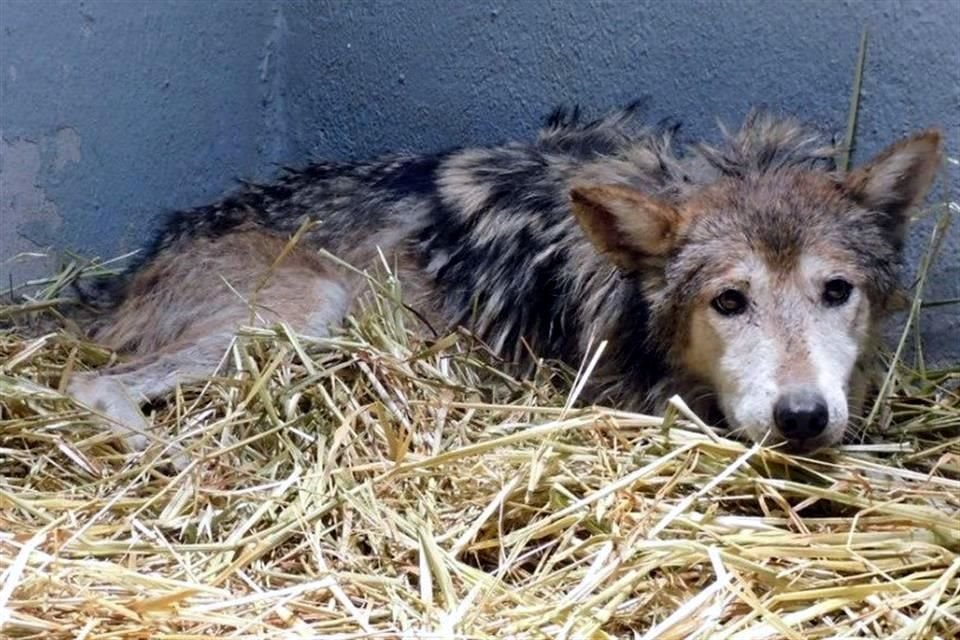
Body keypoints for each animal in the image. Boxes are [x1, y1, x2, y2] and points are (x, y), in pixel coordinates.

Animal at [67, 102, 936, 458]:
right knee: (91, 385)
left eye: (836, 292)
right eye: (729, 301)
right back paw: (175, 460)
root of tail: (131, 270)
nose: (802, 416)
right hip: (306, 306)